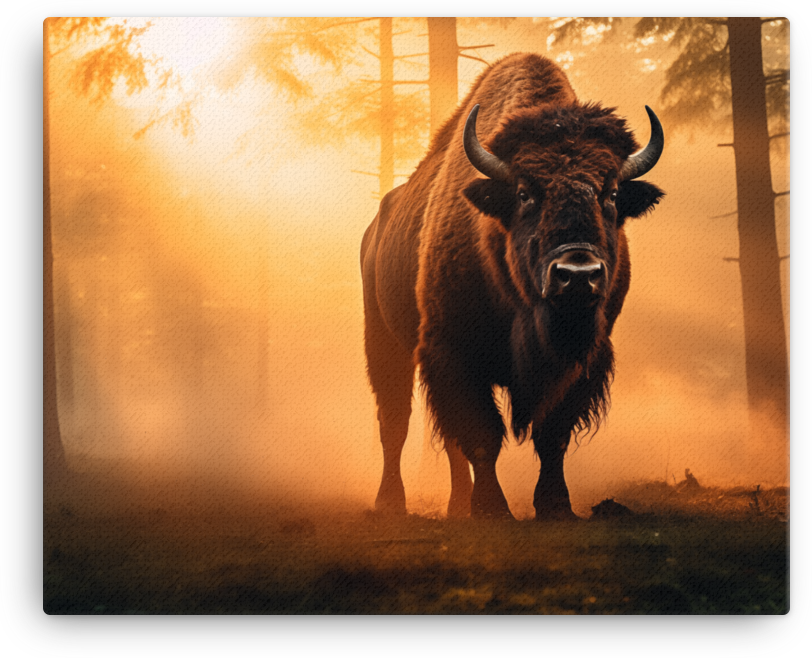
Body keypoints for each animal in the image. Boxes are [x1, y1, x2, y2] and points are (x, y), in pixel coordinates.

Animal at [361, 53, 664, 520]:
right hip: (384, 343)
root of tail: (375, 228)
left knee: (447, 442)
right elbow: (483, 436)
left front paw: (555, 507)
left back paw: (456, 506)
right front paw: (492, 510)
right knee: (395, 423)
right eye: (524, 194)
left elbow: (552, 433)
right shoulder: (452, 352)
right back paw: (391, 503)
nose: (578, 274)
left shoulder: (583, 357)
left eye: (611, 194)